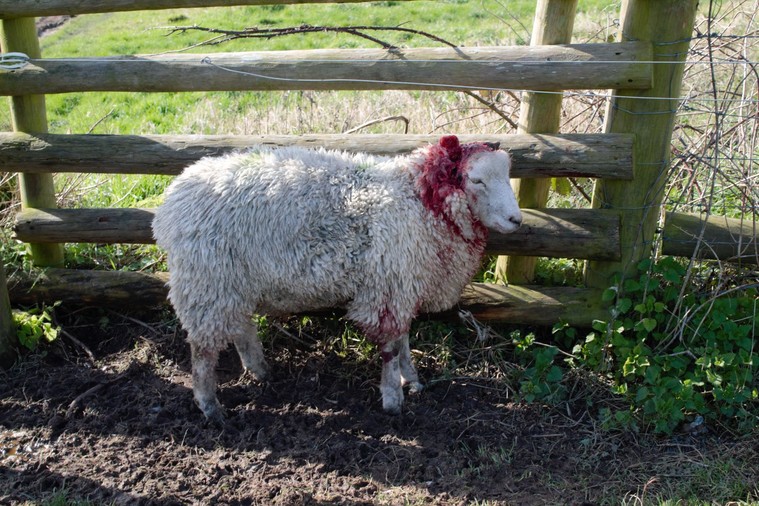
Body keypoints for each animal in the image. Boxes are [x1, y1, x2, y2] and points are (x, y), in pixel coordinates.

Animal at [154, 134, 524, 422]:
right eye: (476, 180)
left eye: (507, 175)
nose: (516, 220)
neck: (417, 199)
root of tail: (170, 203)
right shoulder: (389, 284)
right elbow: (391, 346)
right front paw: (393, 398)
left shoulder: (403, 282)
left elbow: (404, 339)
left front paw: (412, 380)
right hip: (207, 279)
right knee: (203, 350)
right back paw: (210, 406)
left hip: (233, 280)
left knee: (242, 327)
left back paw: (260, 371)